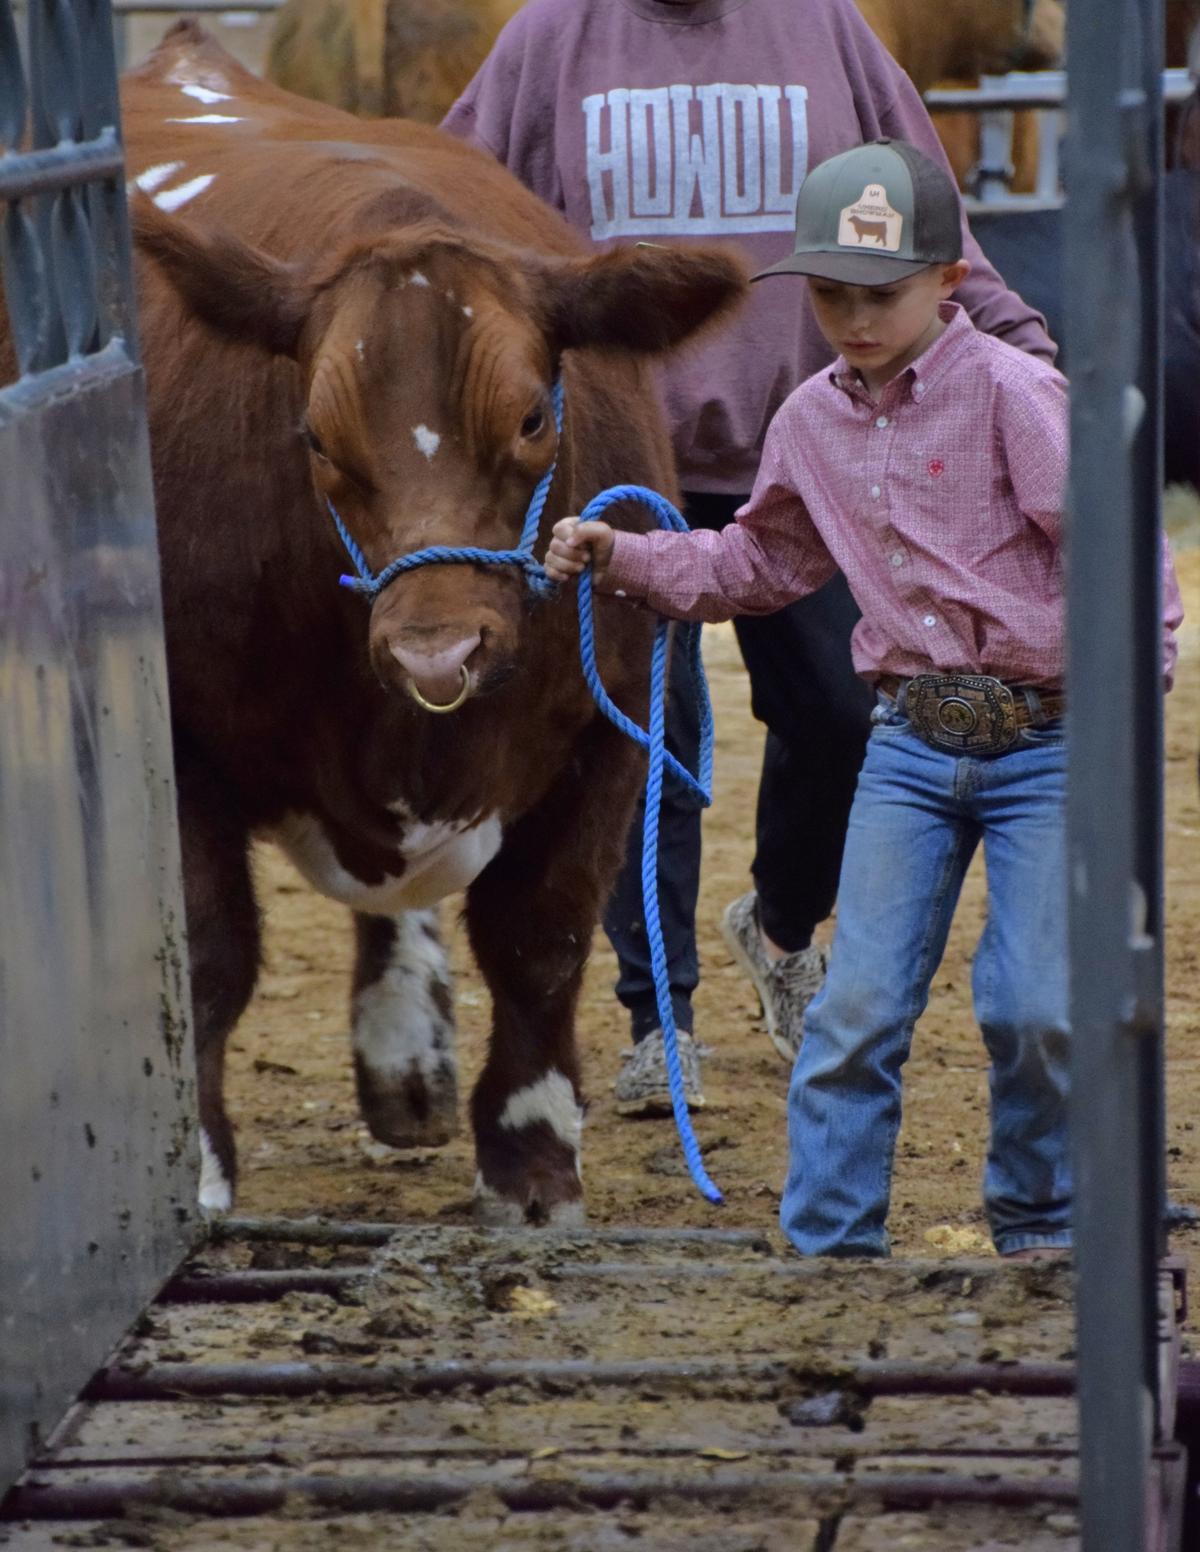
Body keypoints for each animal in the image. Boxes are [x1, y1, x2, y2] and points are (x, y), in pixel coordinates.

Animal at [10, 22, 746, 1226]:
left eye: (533, 416)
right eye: (313, 435)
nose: (433, 650)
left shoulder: (612, 725)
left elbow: (541, 934)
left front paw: (532, 1157)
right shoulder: (182, 737)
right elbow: (205, 950)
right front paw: (197, 1166)